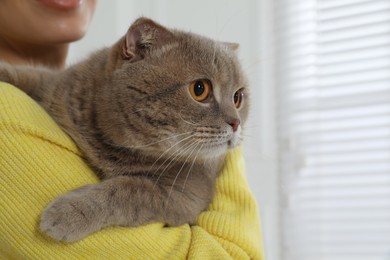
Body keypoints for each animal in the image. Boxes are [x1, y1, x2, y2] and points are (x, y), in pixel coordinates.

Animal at [0, 17, 250, 242]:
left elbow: (127, 189)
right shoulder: (53, 83)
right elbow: (27, 74)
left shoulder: (185, 195)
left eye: (237, 97)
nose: (235, 122)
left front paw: (68, 214)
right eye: (200, 89)